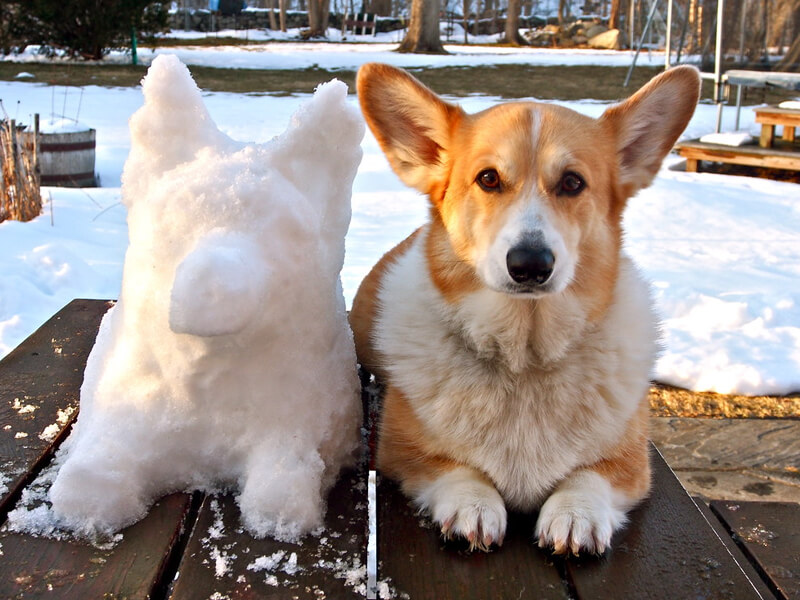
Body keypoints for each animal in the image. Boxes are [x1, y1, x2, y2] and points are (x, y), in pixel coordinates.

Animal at [350, 63, 700, 556]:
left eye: (572, 182)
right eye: (488, 178)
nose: (530, 264)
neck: (524, 354)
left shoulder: (630, 463)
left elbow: (588, 477)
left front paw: (575, 515)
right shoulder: (402, 454)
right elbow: (457, 469)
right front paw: (474, 505)